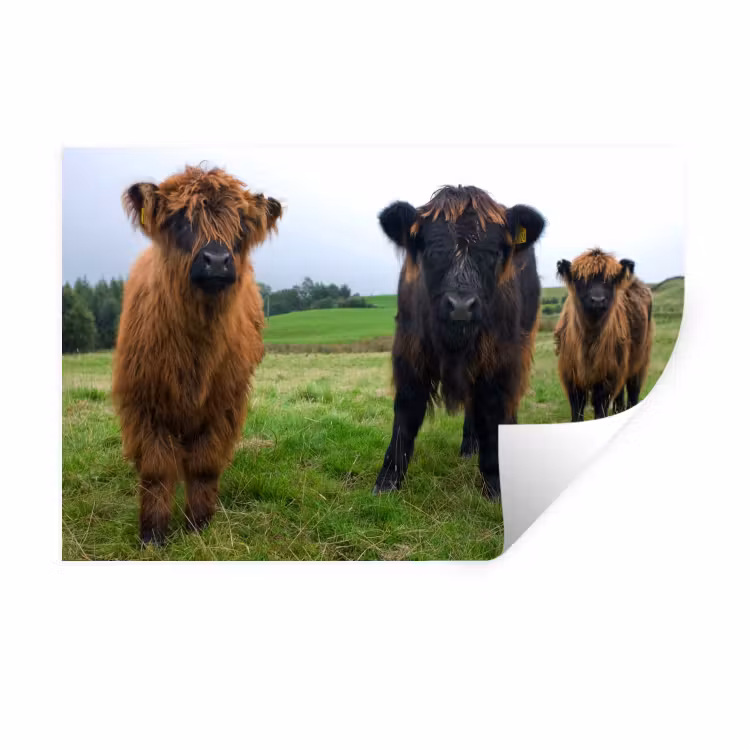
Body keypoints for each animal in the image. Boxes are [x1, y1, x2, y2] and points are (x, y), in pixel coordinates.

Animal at [112, 164, 282, 544]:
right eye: (180, 220)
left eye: (241, 226)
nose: (217, 261)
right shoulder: (144, 404)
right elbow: (156, 470)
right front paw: (153, 534)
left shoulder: (223, 406)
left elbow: (205, 465)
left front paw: (198, 526)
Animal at [372, 185, 546, 500]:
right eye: (431, 250)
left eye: (494, 252)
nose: (461, 306)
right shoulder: (409, 352)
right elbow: (406, 413)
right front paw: (387, 481)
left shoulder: (499, 359)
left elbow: (493, 413)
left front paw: (496, 484)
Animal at [554, 248, 654, 421]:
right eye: (581, 280)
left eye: (610, 280)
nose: (598, 300)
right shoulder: (571, 378)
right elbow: (577, 410)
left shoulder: (607, 378)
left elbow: (600, 408)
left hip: (639, 360)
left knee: (633, 391)